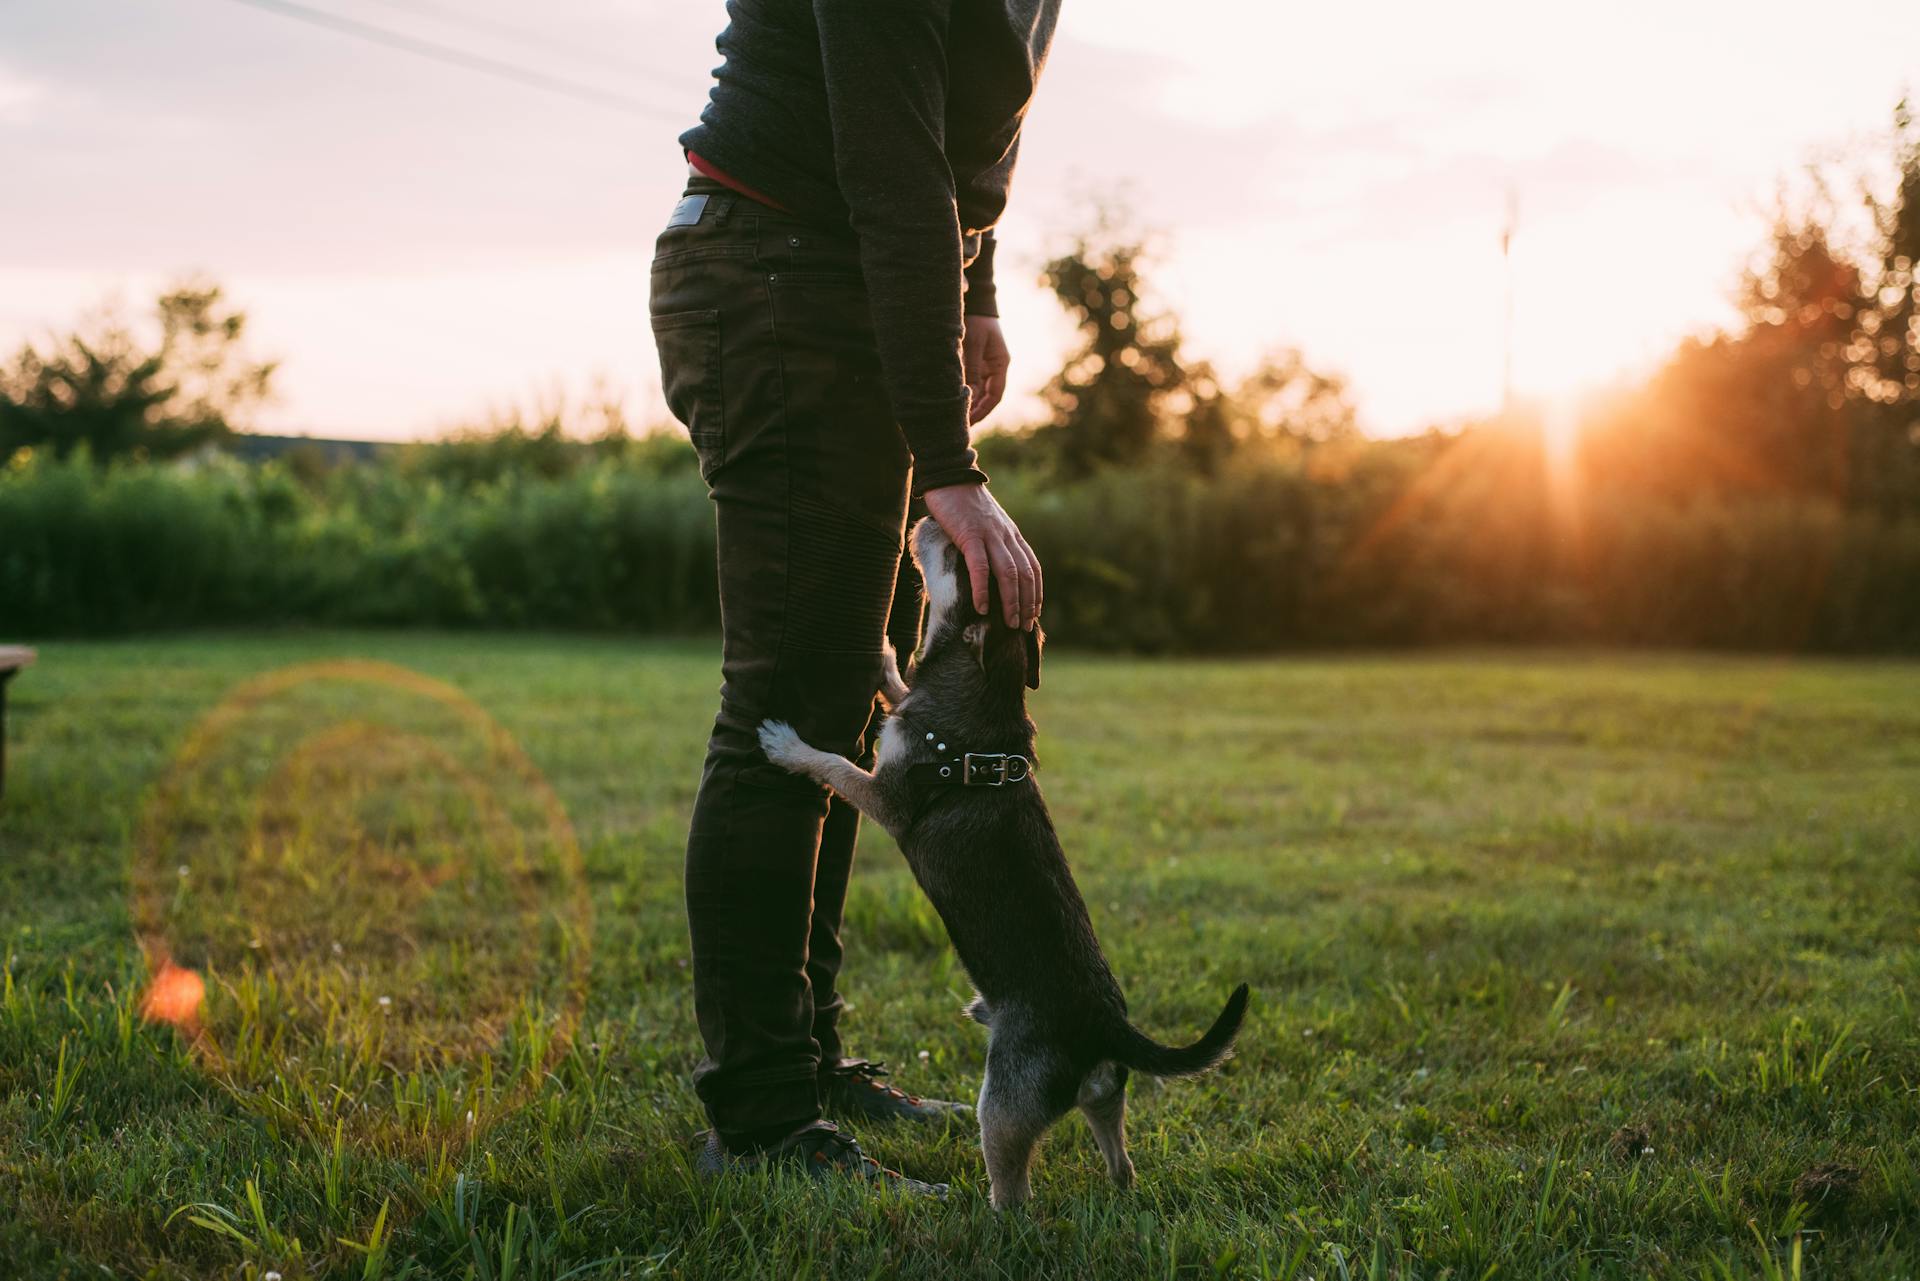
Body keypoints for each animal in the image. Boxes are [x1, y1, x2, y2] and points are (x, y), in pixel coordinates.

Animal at [756, 514, 1251, 1206]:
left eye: (958, 558)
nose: (927, 516)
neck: (985, 689)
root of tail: (1104, 1026)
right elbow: (897, 686)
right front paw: (884, 650)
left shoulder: (887, 797)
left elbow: (833, 764)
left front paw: (787, 744)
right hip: (1104, 1097)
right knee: (1120, 1156)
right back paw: (1118, 1188)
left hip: (1004, 1105)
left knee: (1014, 1194)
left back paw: (982, 1213)